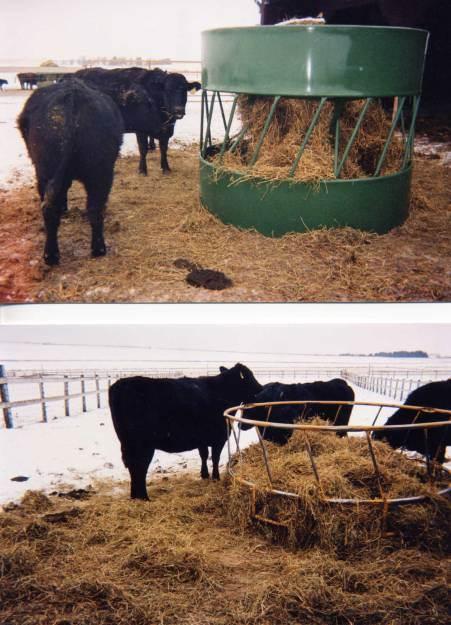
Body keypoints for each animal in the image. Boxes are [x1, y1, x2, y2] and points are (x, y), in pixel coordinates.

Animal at [18, 77, 122, 264]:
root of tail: (73, 99)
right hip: (101, 172)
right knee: (94, 209)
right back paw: (97, 249)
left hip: (46, 172)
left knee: (52, 209)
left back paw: (52, 255)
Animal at [108, 364, 262, 500]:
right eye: (249, 377)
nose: (261, 389)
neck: (222, 391)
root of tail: (120, 385)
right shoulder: (219, 438)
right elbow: (215, 458)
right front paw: (215, 477)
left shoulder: (202, 439)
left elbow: (204, 455)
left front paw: (204, 475)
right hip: (142, 445)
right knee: (139, 467)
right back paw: (144, 497)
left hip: (128, 444)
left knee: (133, 467)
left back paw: (135, 496)